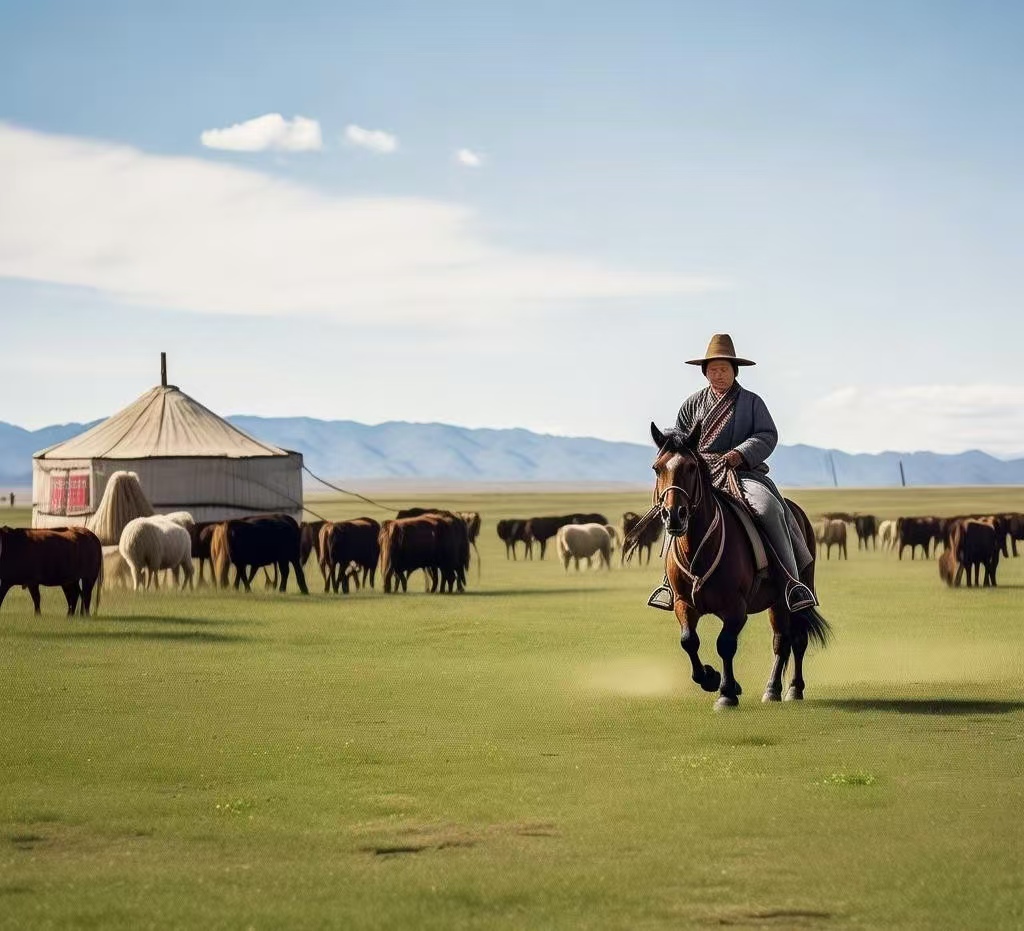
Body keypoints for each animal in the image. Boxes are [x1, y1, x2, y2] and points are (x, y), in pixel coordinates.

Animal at [622, 424, 831, 708]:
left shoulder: (736, 607)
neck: (698, 549)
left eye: (690, 467)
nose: (674, 515)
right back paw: (773, 689)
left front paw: (727, 692)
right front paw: (710, 678)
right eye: (657, 468)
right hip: (776, 601)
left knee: (795, 639)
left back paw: (792, 689)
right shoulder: (683, 602)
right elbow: (689, 641)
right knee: (782, 639)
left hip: (795, 595)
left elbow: (725, 644)